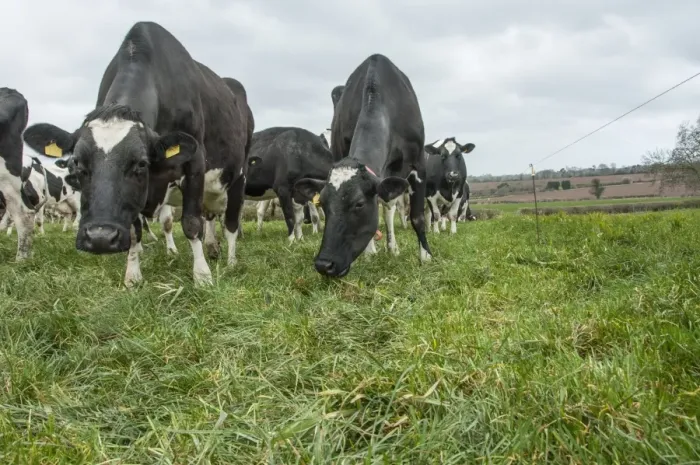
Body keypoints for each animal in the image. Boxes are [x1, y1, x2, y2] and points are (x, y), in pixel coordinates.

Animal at [22, 21, 253, 287]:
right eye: (77, 164)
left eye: (141, 164)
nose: (100, 238)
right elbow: (136, 231)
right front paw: (132, 276)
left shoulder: (195, 161)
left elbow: (191, 223)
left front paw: (202, 276)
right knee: (210, 216)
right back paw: (212, 247)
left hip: (239, 175)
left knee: (231, 222)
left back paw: (231, 261)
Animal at [294, 54, 432, 277]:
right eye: (322, 203)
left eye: (359, 204)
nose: (324, 264)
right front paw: (369, 253)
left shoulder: (419, 164)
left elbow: (417, 216)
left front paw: (426, 256)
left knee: (389, 208)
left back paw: (392, 248)